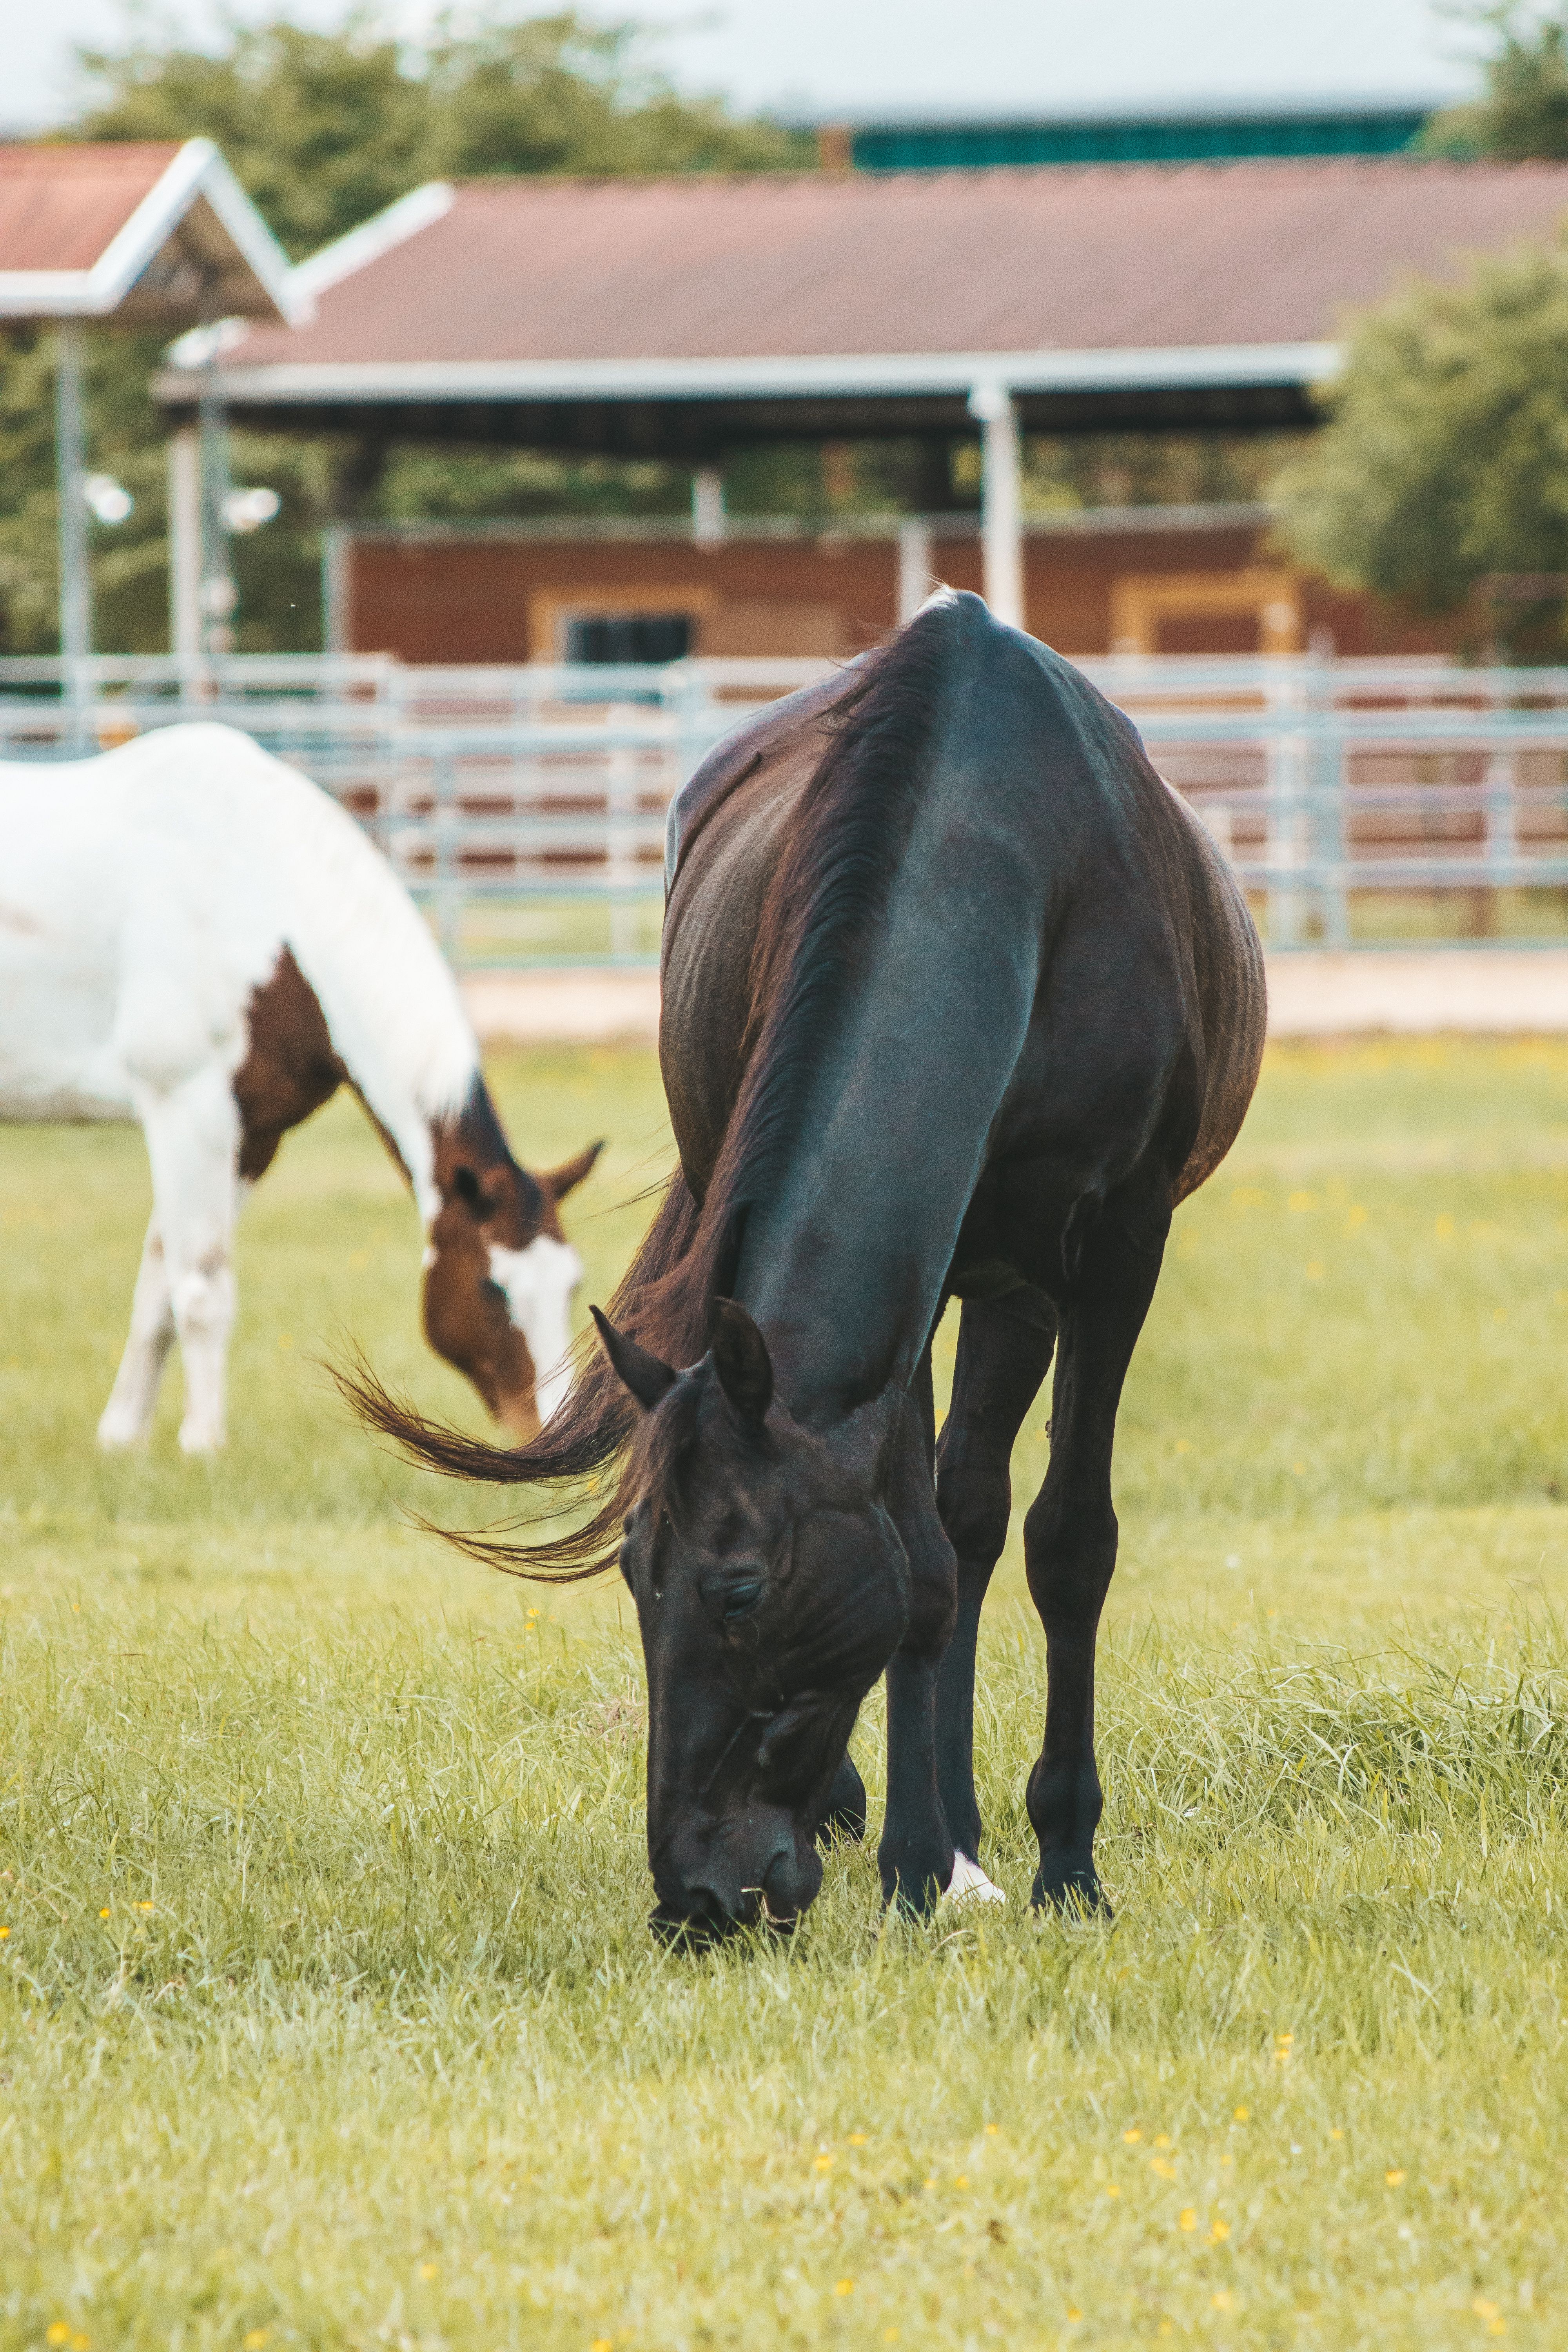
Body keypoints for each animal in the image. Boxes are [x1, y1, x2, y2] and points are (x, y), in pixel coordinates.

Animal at [0, 721, 601, 1453]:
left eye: (570, 1285)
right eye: (495, 1289)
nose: (552, 1428)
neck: (262, 904)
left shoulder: (250, 1136)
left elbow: (158, 1288)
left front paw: (122, 1440)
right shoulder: (187, 1110)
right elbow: (200, 1291)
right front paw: (203, 1446)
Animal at [351, 593, 1265, 1940]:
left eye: (737, 1590)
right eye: (634, 1579)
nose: (693, 1894)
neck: (1001, 860)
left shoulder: (1114, 1254)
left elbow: (1065, 1541)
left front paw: (1064, 1861)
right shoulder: (922, 1280)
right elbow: (919, 1556)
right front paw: (920, 1861)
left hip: (1022, 1289)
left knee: (982, 1509)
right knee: (949, 1517)